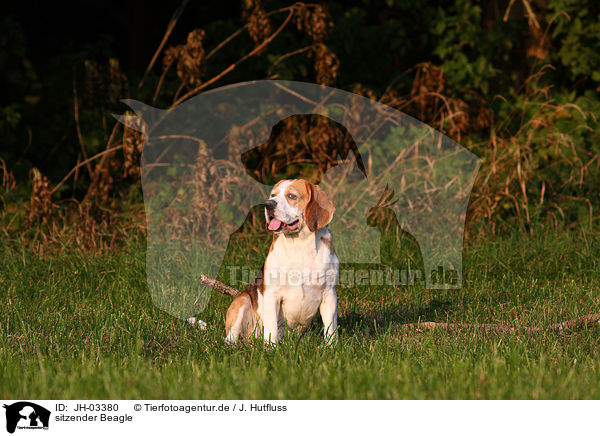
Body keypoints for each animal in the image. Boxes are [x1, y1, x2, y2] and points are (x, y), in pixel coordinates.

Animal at [225, 179, 340, 346]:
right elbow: (272, 327)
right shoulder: (272, 294)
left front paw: (331, 347)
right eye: (273, 195)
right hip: (242, 301)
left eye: (291, 196)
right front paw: (271, 348)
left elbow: (331, 328)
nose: (268, 204)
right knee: (231, 336)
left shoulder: (329, 294)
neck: (299, 245)